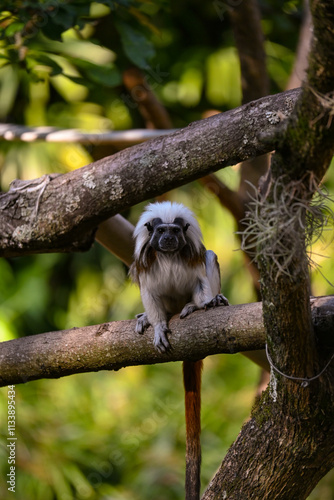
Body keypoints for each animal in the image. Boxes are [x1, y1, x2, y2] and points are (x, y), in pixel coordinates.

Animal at [129, 201, 228, 498]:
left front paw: (202, 304)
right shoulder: (145, 262)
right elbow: (148, 291)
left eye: (175, 230)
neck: (169, 255)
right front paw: (158, 326)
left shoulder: (192, 256)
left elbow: (201, 279)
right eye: (161, 231)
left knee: (210, 257)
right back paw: (149, 319)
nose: (169, 240)